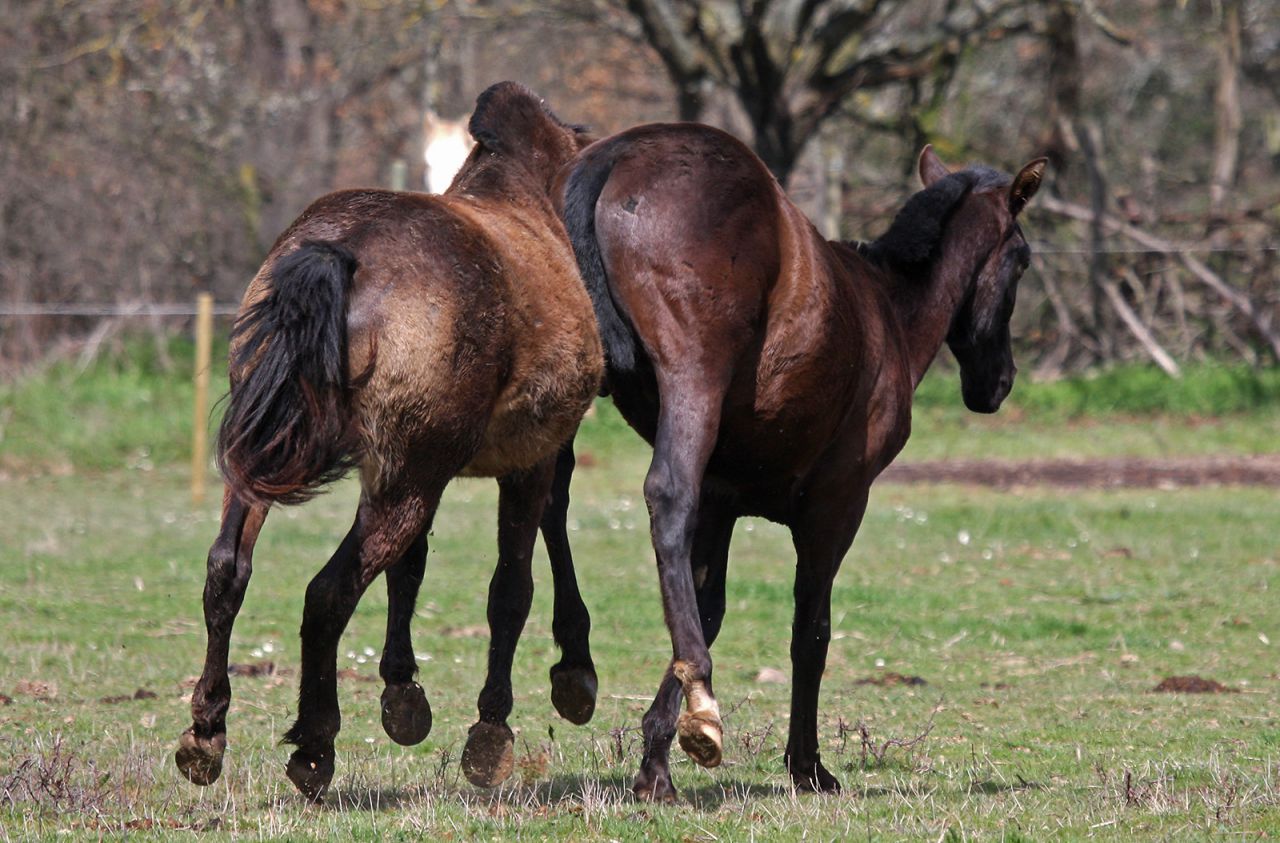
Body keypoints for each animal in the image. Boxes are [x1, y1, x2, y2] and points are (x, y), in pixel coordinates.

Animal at [174, 82, 603, 801]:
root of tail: (342, 251)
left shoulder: (422, 468)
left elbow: (413, 567)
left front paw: (404, 694)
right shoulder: (529, 460)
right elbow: (512, 588)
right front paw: (493, 730)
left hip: (270, 462)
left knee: (227, 570)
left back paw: (206, 731)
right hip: (405, 483)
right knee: (327, 593)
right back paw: (314, 747)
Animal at [554, 122, 1046, 800]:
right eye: (1022, 259)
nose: (997, 383)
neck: (886, 309)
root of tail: (619, 152)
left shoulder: (723, 500)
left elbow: (707, 606)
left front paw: (654, 757)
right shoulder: (836, 505)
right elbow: (810, 631)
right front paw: (806, 765)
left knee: (545, 505)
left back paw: (567, 667)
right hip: (692, 379)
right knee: (665, 497)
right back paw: (699, 695)